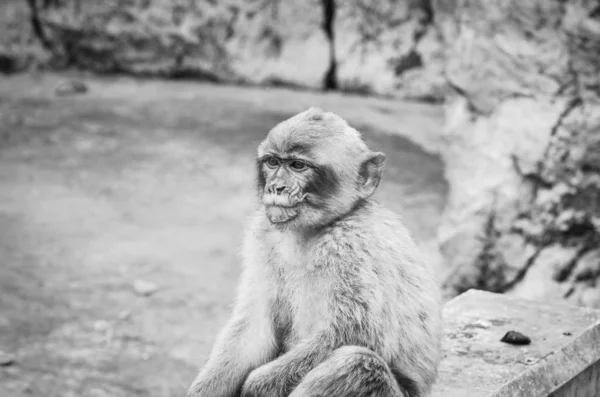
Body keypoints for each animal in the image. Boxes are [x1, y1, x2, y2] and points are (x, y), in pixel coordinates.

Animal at [190, 106, 442, 394]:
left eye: (298, 166)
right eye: (273, 162)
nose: (276, 187)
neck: (310, 233)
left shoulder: (353, 246)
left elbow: (357, 333)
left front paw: (257, 386)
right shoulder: (261, 237)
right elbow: (254, 327)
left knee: (356, 364)